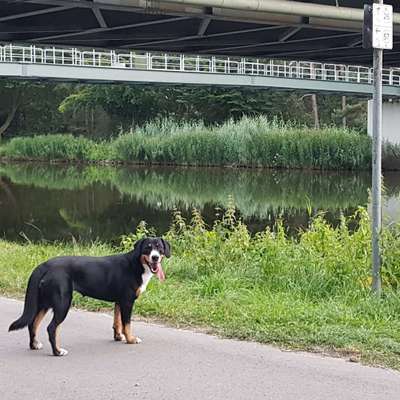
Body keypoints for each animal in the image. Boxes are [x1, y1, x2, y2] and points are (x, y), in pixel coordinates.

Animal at [8, 238, 170, 356]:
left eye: (159, 248)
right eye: (148, 247)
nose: (155, 257)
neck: (137, 264)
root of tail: (45, 264)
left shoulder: (119, 301)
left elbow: (117, 322)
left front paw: (118, 337)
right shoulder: (127, 301)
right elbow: (127, 324)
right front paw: (131, 339)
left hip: (44, 303)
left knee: (32, 323)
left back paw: (34, 345)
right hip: (62, 303)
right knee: (51, 328)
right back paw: (57, 351)